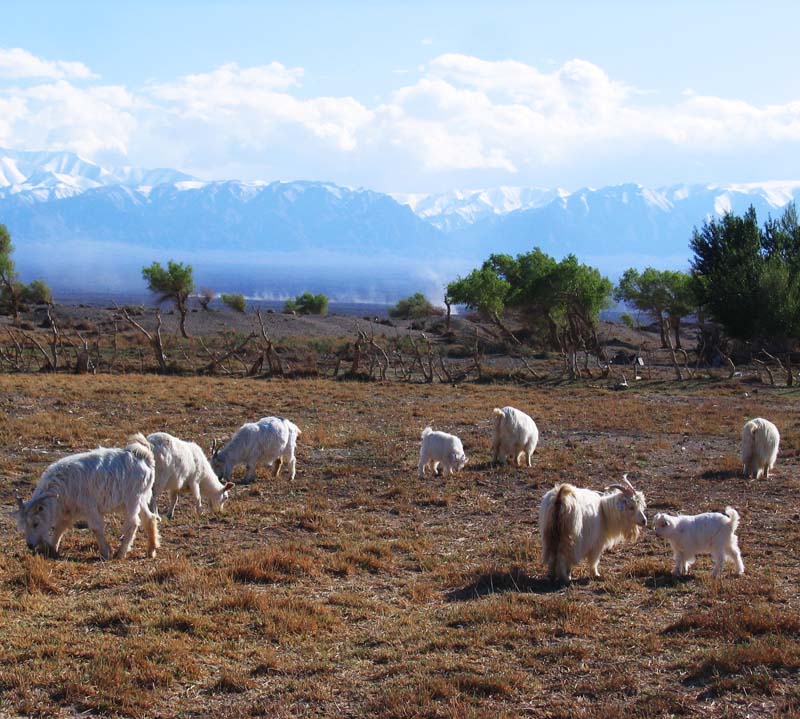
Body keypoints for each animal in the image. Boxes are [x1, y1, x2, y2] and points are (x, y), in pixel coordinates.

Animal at [12, 434, 159, 564]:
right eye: (23, 524)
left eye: (35, 523)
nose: (30, 545)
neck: (61, 485)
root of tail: (144, 456)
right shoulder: (69, 510)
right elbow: (60, 527)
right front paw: (52, 549)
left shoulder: (90, 507)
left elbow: (96, 528)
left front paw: (106, 552)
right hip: (141, 499)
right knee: (150, 518)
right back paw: (151, 551)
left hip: (132, 499)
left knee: (133, 523)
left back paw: (120, 554)